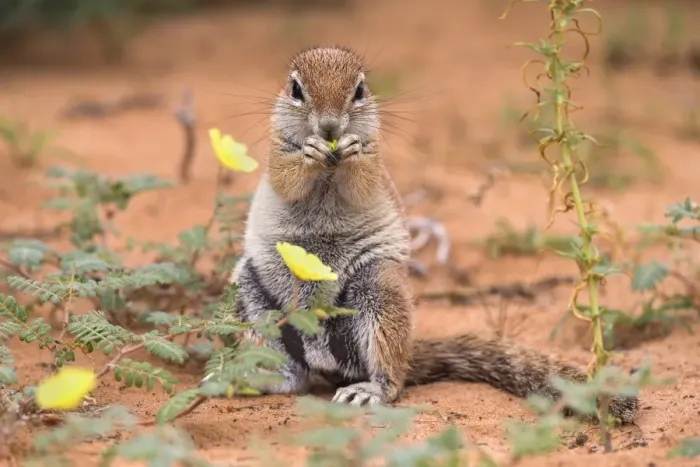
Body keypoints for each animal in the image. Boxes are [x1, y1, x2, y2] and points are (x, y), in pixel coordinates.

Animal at [208, 45, 639, 424]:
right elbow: (289, 177)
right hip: (249, 295)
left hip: (379, 293)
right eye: (296, 89)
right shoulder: (277, 152)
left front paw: (348, 150)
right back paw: (253, 379)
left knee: (391, 379)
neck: (329, 168)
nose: (330, 127)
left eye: (360, 90)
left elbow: (362, 180)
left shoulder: (376, 158)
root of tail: (321, 356)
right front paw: (311, 152)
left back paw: (368, 390)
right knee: (293, 378)